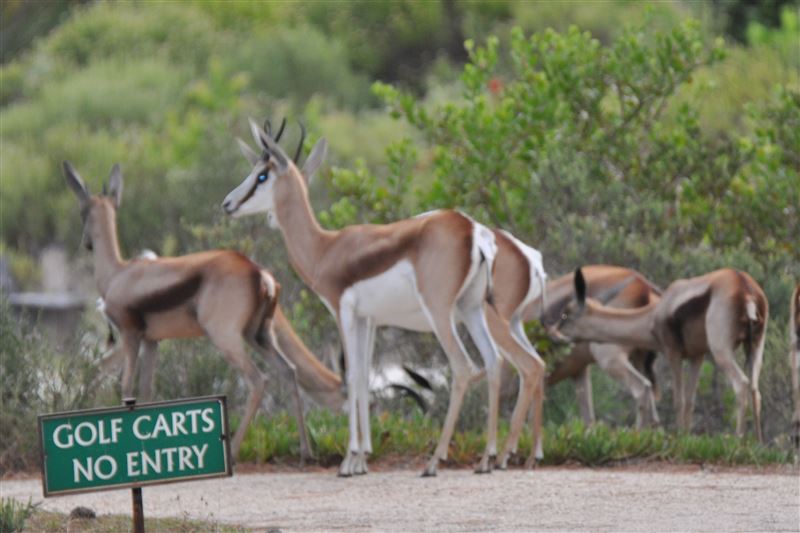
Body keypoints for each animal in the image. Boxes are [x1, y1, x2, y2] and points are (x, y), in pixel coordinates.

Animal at [63, 161, 315, 460]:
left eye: (82, 211)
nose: (86, 243)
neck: (118, 273)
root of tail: (258, 272)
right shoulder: (152, 341)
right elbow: (146, 391)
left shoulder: (130, 336)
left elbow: (126, 388)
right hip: (259, 336)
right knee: (289, 372)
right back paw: (305, 451)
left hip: (227, 339)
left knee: (258, 380)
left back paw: (234, 451)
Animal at [221, 119, 548, 476]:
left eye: (261, 175)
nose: (227, 203)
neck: (326, 249)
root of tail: (473, 231)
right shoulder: (369, 319)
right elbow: (365, 376)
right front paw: (361, 460)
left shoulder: (344, 312)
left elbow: (352, 376)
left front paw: (349, 460)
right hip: (472, 309)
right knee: (498, 362)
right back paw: (488, 459)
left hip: (444, 313)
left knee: (472, 366)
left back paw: (437, 461)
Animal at [518, 266, 662, 431]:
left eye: (565, 314)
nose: (552, 333)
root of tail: (646, 288)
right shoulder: (579, 371)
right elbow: (588, 418)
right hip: (638, 359)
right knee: (651, 403)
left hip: (610, 358)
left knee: (642, 388)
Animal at [551, 267, 768, 441]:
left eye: (565, 315)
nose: (552, 333)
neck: (653, 315)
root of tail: (745, 288)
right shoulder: (696, 356)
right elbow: (690, 401)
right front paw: (686, 436)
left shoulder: (673, 352)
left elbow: (678, 400)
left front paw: (679, 439)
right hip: (755, 347)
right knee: (756, 389)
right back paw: (758, 442)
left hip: (721, 350)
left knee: (741, 383)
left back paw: (738, 439)